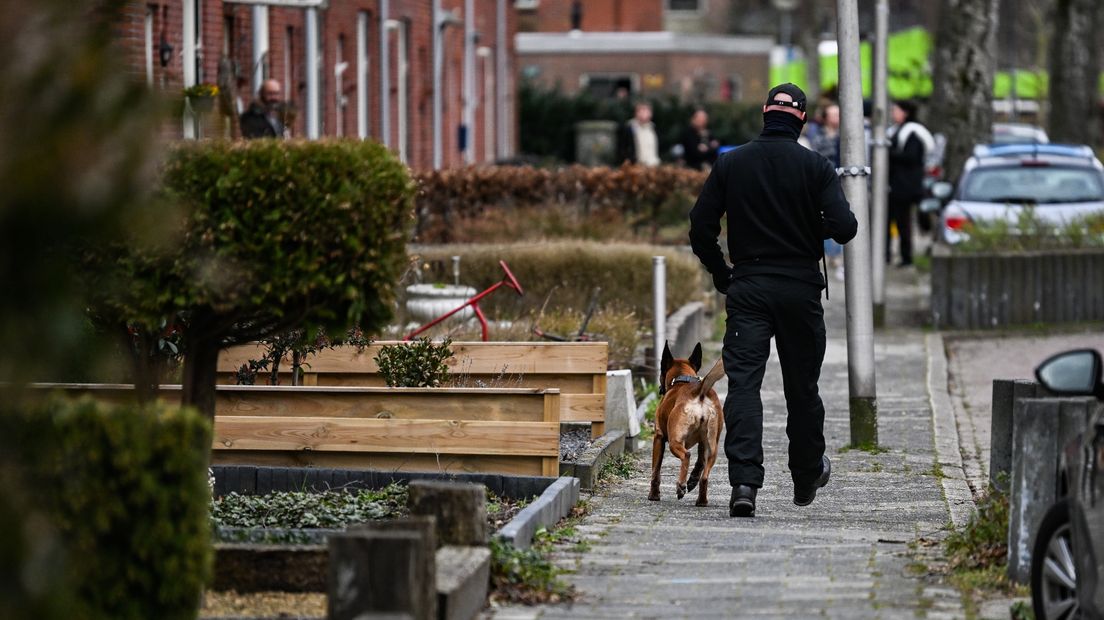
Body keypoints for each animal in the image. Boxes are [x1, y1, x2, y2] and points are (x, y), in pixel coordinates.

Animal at [644, 339, 724, 505]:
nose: (660, 387)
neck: (682, 380)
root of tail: (699, 391)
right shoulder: (702, 442)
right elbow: (700, 462)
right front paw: (692, 479)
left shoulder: (658, 438)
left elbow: (656, 471)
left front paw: (654, 495)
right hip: (712, 446)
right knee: (705, 475)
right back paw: (701, 500)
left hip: (675, 442)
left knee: (686, 455)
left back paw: (680, 486)